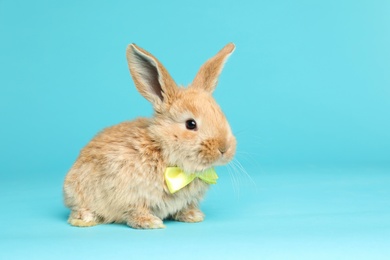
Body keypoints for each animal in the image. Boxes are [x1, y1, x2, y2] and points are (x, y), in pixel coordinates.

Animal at [62, 42, 236, 230]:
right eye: (191, 124)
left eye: (221, 115)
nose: (224, 149)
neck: (164, 152)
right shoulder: (131, 194)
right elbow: (135, 210)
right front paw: (150, 222)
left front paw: (193, 216)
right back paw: (84, 219)